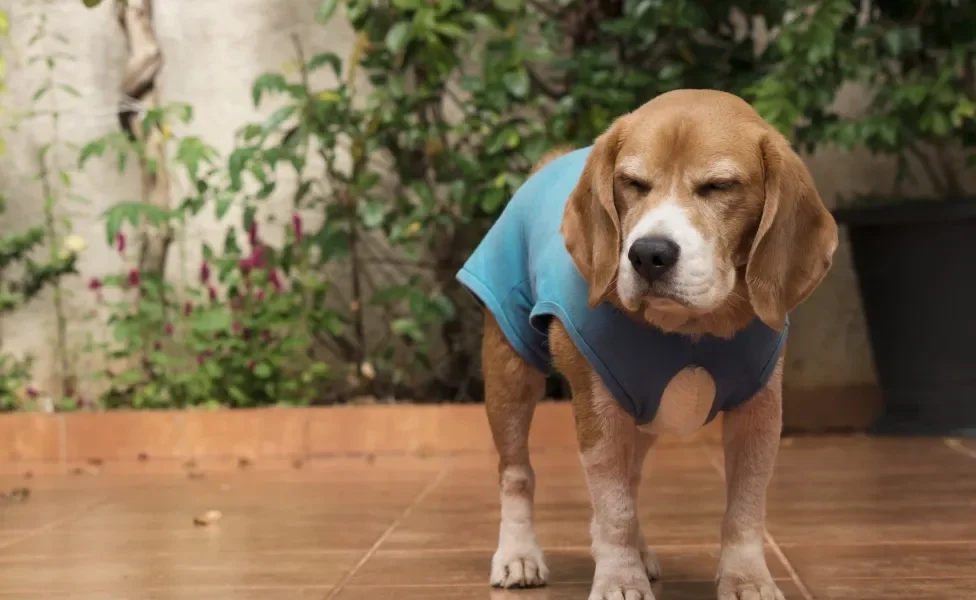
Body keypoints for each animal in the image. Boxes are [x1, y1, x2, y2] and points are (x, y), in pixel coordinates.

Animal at [454, 89, 836, 600]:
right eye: (632, 183)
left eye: (719, 186)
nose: (649, 253)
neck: (691, 327)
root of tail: (554, 160)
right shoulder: (599, 413)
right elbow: (613, 510)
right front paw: (619, 578)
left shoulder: (758, 413)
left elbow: (745, 508)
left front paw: (747, 577)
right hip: (509, 376)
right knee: (517, 474)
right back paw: (519, 554)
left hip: (647, 419)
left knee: (630, 480)